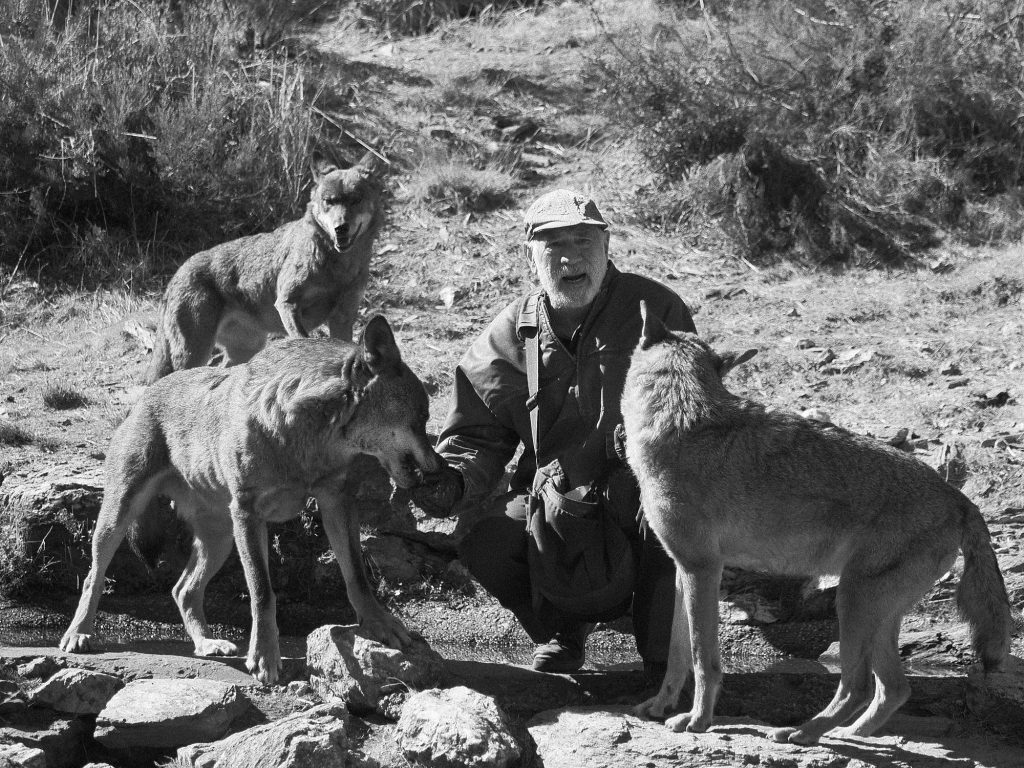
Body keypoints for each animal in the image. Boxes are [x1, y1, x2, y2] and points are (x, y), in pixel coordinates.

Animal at [60, 316, 442, 686]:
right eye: (421, 419)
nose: (438, 468)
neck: (304, 433)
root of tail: (147, 393)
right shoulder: (249, 515)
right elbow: (262, 592)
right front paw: (264, 658)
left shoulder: (337, 503)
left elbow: (358, 577)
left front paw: (382, 626)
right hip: (120, 517)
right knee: (94, 577)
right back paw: (78, 635)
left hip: (220, 540)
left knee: (182, 590)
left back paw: (206, 643)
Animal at [144, 153, 385, 384]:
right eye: (329, 201)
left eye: (356, 200)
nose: (340, 228)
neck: (339, 267)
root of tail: (175, 276)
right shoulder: (287, 303)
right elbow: (304, 340)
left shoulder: (342, 318)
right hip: (194, 354)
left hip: (245, 349)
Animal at [622, 302, 1011, 744]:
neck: (679, 419)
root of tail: (960, 498)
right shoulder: (680, 570)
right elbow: (676, 655)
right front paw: (658, 706)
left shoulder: (702, 569)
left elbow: (704, 658)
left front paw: (697, 721)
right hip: (874, 612)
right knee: (893, 688)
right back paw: (847, 733)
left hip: (853, 602)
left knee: (857, 684)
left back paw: (803, 732)